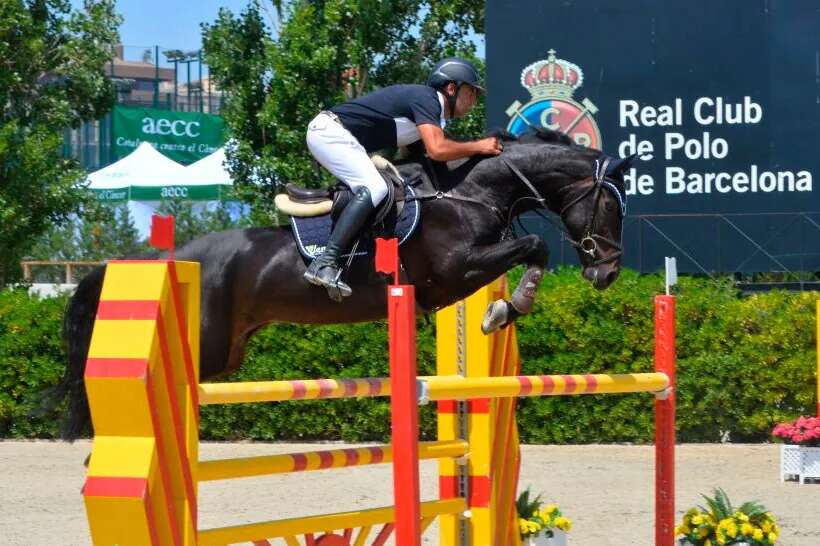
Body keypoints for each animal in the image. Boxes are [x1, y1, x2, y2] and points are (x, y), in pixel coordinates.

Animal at [57, 129, 632, 438]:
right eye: (609, 205)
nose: (607, 273)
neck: (469, 192)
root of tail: (163, 258)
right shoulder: (455, 271)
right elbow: (534, 247)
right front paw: (507, 308)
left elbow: (529, 250)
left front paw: (504, 309)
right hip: (206, 347)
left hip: (227, 354)